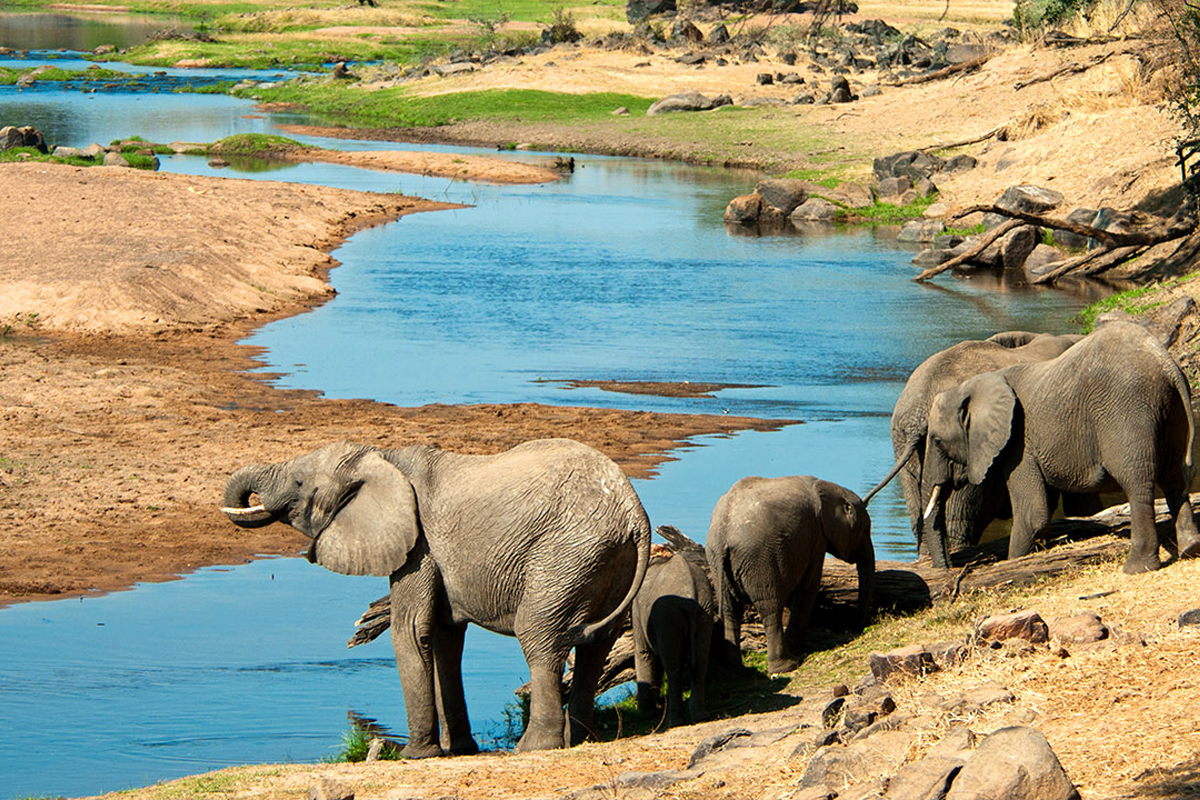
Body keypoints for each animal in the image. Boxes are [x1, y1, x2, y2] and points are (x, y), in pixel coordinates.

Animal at [220, 438, 652, 758]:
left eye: (297, 483)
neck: (382, 457)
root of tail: (635, 514)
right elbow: (445, 638)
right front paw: (459, 749)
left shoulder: (418, 545)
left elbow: (411, 631)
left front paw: (414, 755)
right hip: (607, 561)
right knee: (596, 646)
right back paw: (579, 740)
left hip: (565, 555)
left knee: (539, 638)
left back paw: (533, 748)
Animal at [633, 554, 715, 729]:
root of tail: (690, 593)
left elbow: (644, 653)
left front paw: (647, 714)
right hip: (705, 609)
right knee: (700, 663)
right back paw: (701, 717)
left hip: (668, 615)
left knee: (674, 669)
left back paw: (674, 722)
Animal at [700, 474, 873, 676]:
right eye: (865, 530)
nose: (860, 627)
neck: (827, 487)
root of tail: (723, 534)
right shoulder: (816, 536)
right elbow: (808, 586)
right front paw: (796, 646)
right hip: (760, 560)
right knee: (770, 608)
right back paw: (787, 665)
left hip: (716, 560)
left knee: (730, 610)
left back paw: (736, 670)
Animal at [921, 321, 1195, 575]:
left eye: (937, 441)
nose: (951, 569)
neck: (971, 386)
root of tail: (1165, 362)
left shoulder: (1019, 443)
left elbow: (1032, 514)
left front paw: (1013, 562)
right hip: (1172, 411)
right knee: (1174, 479)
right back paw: (1190, 550)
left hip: (1128, 408)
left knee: (1138, 481)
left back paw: (1137, 568)